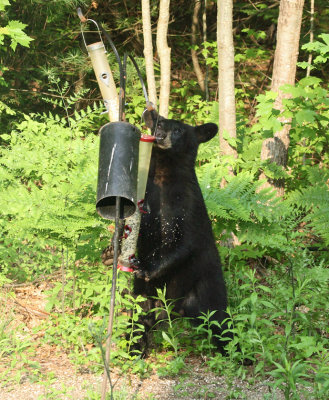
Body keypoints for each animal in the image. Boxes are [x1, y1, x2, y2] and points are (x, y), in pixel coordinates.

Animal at [133, 109, 228, 354]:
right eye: (159, 123)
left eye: (178, 130)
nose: (160, 133)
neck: (163, 174)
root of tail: (176, 311)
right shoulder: (147, 195)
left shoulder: (189, 203)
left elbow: (185, 242)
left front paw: (147, 267)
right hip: (145, 295)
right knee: (138, 313)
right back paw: (135, 347)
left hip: (207, 285)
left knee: (220, 319)